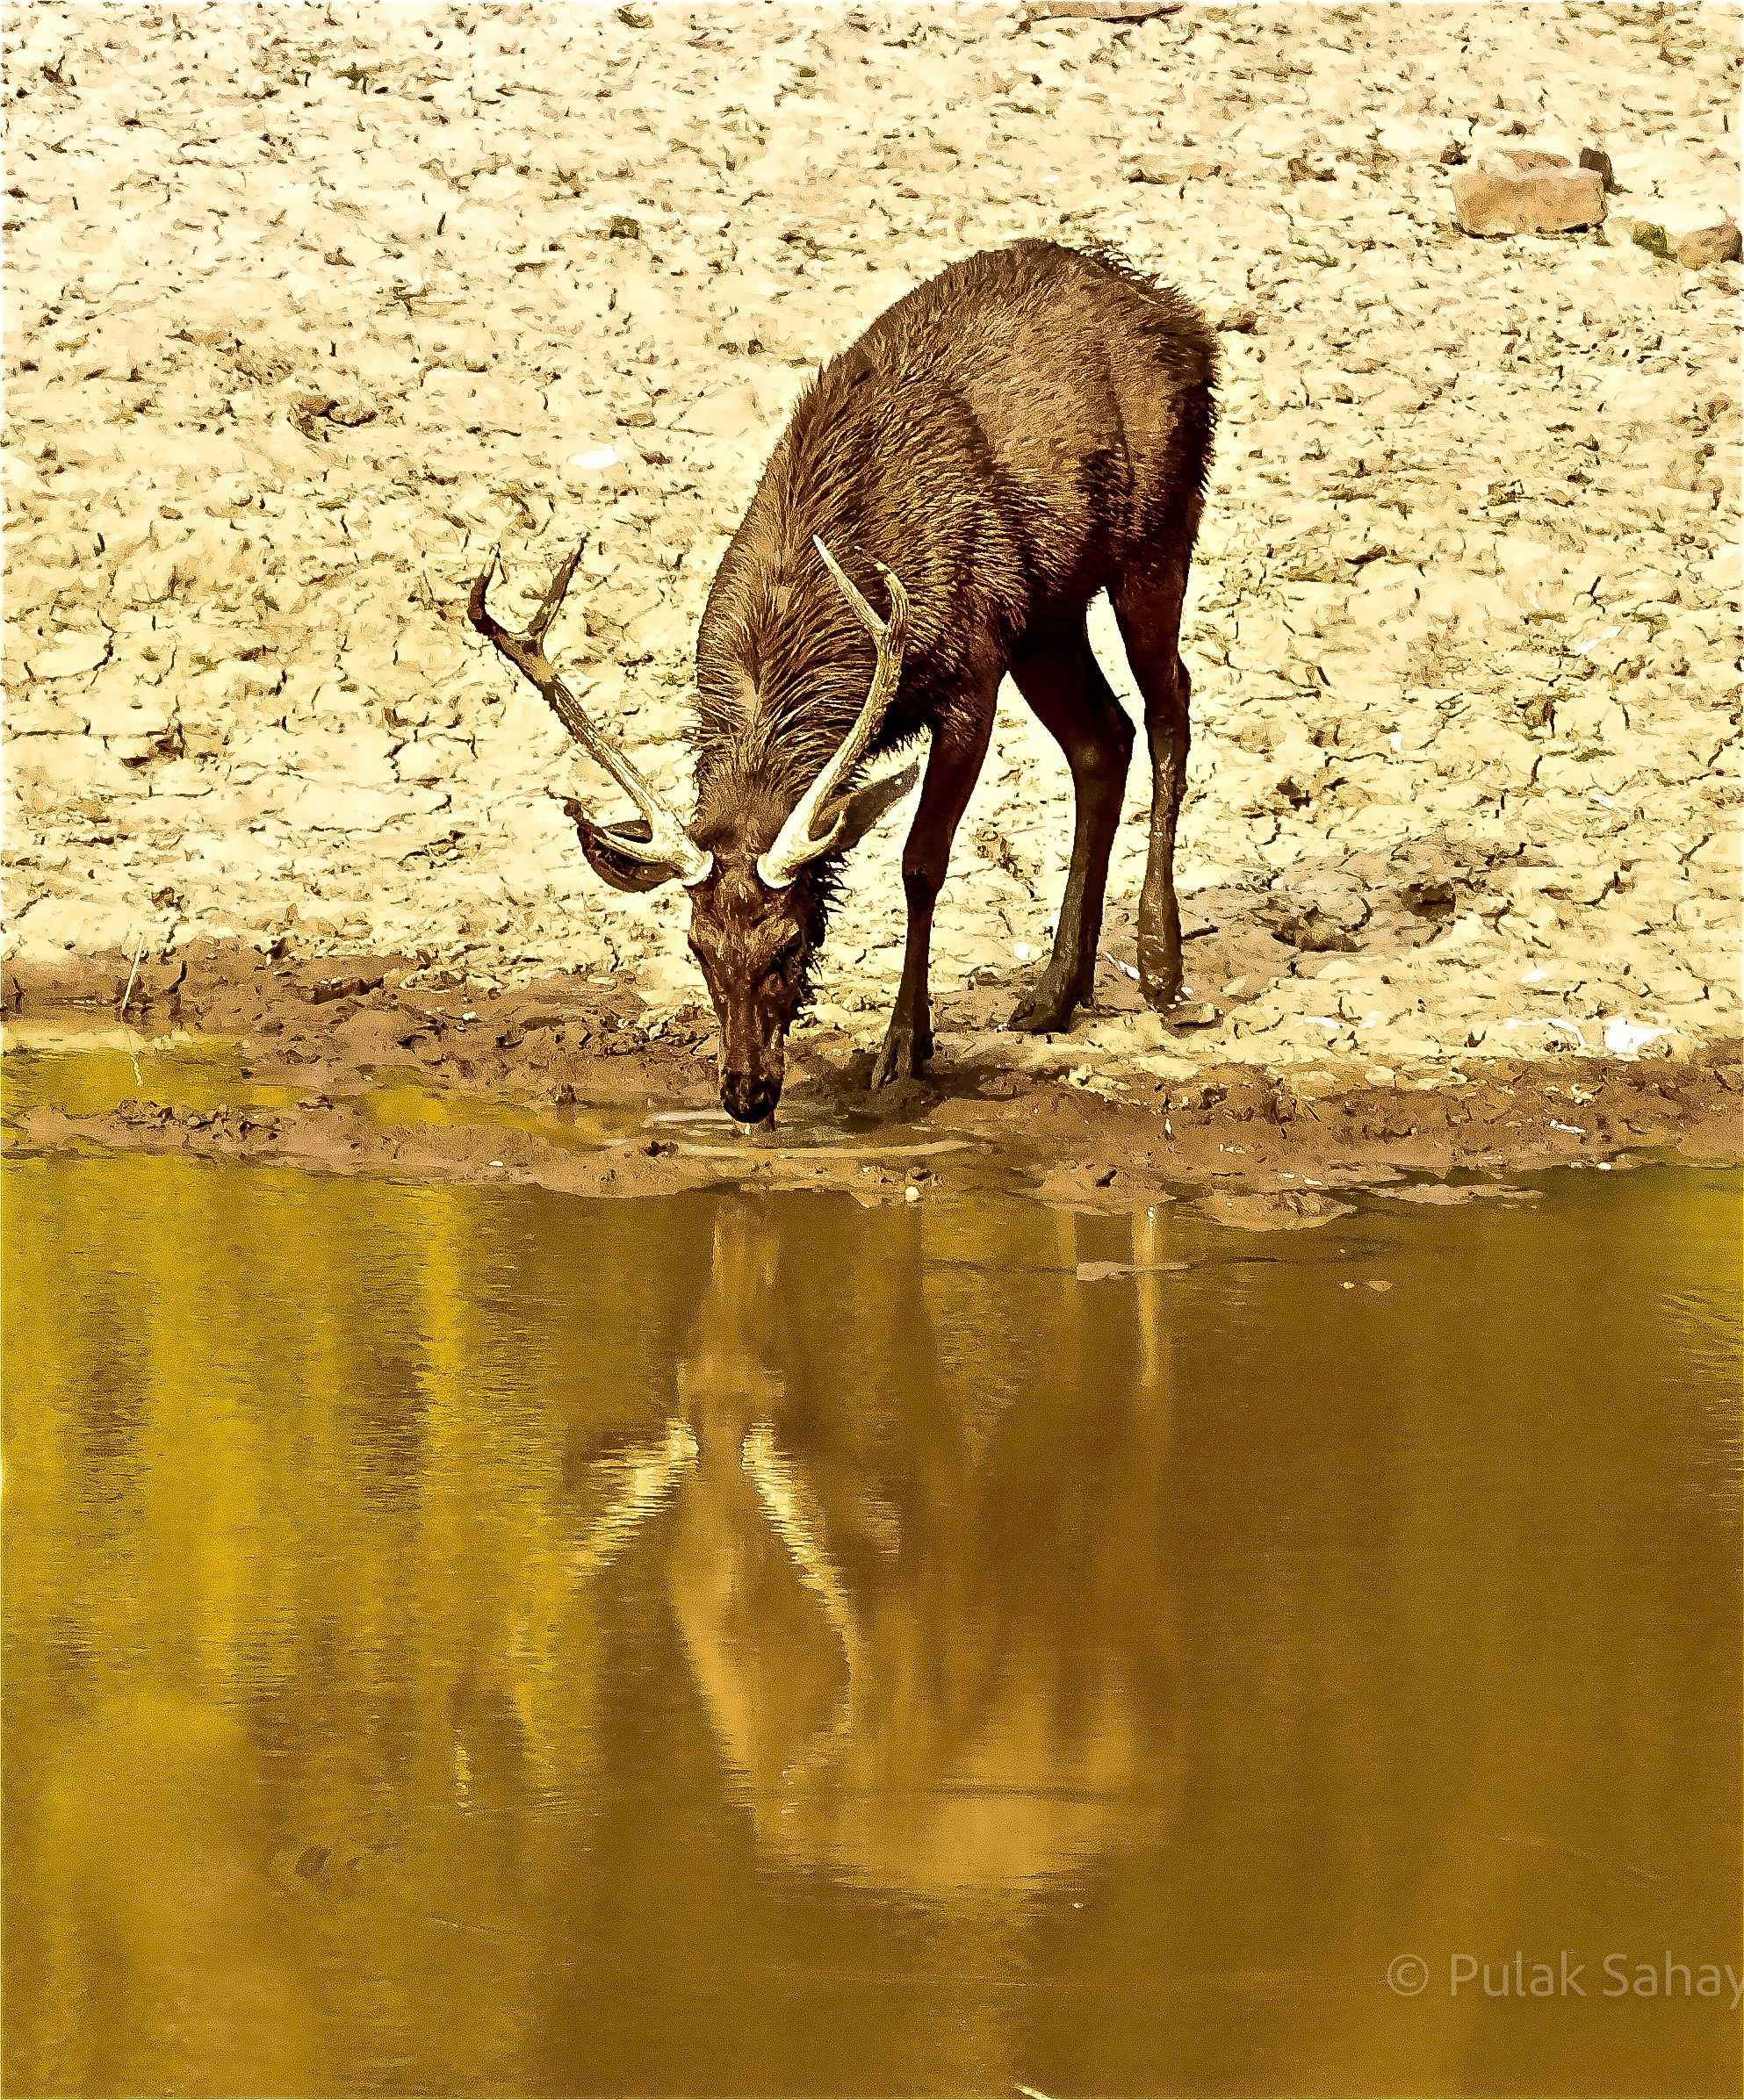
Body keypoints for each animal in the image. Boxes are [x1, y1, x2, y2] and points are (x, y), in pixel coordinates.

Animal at [469, 238, 1217, 1125]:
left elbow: (920, 865)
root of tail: (1185, 319)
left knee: (1170, 704)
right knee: (1103, 739)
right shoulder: (1009, 634)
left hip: (1159, 531)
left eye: (789, 943)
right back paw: (1054, 994)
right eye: (696, 947)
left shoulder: (970, 674)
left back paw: (1161, 965)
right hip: (1048, 613)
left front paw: (904, 1045)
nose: (745, 1093)